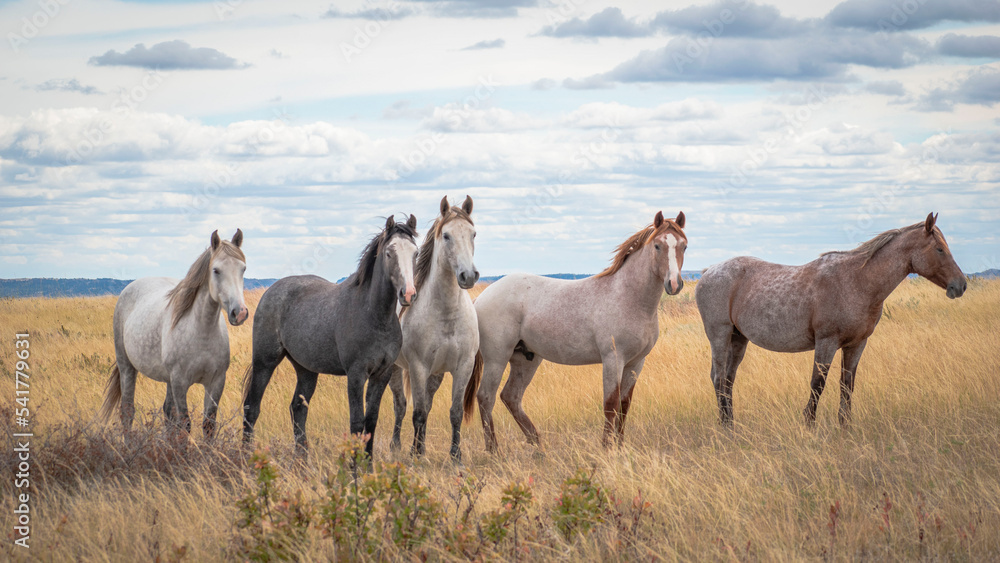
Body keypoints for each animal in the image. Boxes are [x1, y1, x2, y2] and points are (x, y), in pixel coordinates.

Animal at [100, 230, 248, 439]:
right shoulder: (180, 383)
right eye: (216, 270)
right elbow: (185, 424)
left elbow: (208, 425)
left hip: (167, 379)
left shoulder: (216, 382)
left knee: (167, 413)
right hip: (127, 367)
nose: (240, 312)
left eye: (243, 269)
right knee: (127, 411)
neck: (202, 332)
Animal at [241, 215, 419, 459]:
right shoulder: (356, 375)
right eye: (389, 253)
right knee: (252, 407)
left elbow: (371, 422)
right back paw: (245, 454)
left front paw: (368, 463)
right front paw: (356, 466)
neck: (375, 315)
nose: (408, 294)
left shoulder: (381, 375)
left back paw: (302, 458)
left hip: (306, 370)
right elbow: (357, 423)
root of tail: (270, 291)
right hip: (265, 362)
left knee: (298, 408)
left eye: (415, 253)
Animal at [387, 195, 481, 462]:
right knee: (401, 406)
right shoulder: (418, 367)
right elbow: (417, 412)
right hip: (396, 369)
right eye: (446, 236)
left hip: (436, 374)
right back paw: (398, 445)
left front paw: (455, 456)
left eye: (473, 234)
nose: (468, 276)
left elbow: (454, 412)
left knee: (425, 406)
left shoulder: (463, 367)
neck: (446, 314)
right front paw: (417, 455)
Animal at [474, 210, 687, 451]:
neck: (628, 296)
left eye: (684, 246)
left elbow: (624, 404)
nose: (674, 284)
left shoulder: (636, 362)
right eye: (658, 246)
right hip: (497, 359)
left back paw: (538, 446)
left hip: (526, 359)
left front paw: (620, 446)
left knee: (511, 397)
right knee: (486, 397)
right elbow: (610, 403)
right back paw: (494, 450)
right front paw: (607, 448)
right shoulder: (613, 359)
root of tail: (482, 297)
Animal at [695, 213, 967, 427]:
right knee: (718, 378)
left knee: (728, 380)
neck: (856, 282)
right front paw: (809, 425)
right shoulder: (826, 343)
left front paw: (845, 426)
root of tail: (708, 272)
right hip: (720, 335)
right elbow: (818, 384)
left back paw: (731, 422)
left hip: (738, 339)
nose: (961, 285)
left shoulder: (856, 345)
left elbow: (847, 385)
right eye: (940, 249)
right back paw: (726, 427)